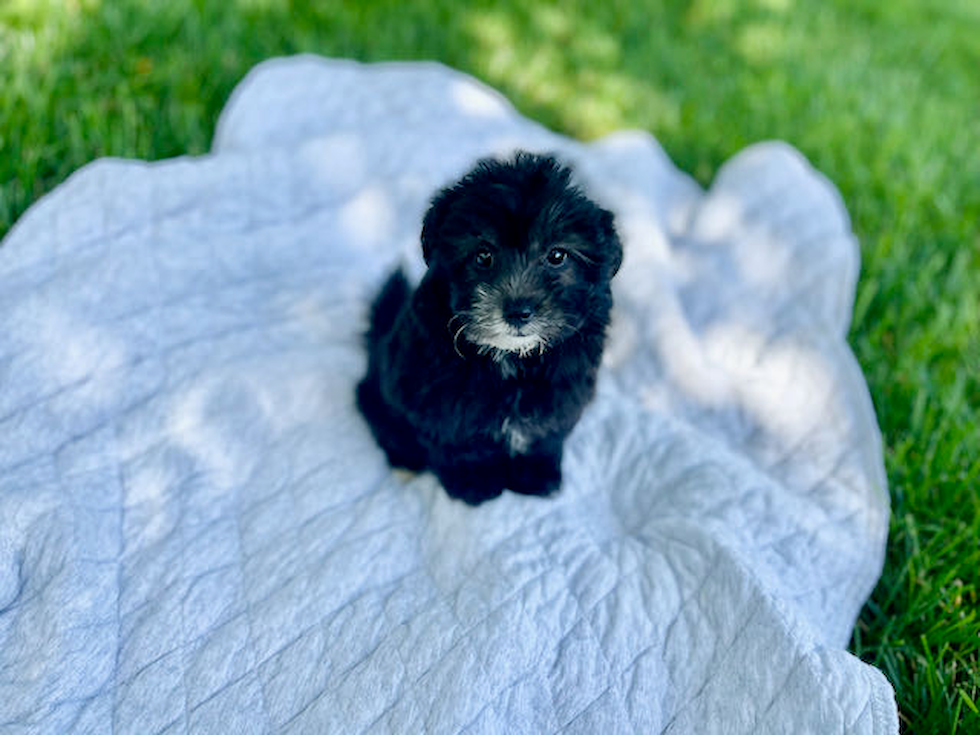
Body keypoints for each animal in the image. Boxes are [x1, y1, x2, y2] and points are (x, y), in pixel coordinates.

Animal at [356, 152, 624, 504]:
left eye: (557, 255)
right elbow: (459, 441)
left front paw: (536, 474)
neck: (512, 357)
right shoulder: (440, 397)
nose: (518, 311)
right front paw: (474, 481)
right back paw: (405, 460)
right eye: (483, 255)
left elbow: (545, 431)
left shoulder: (563, 387)